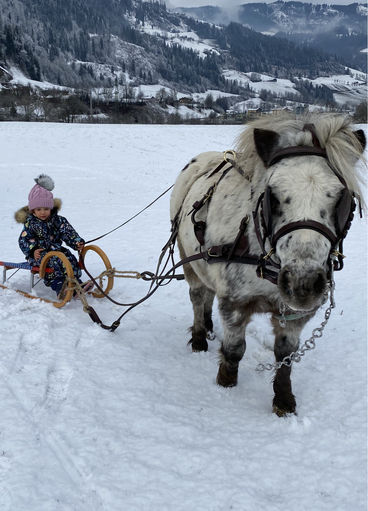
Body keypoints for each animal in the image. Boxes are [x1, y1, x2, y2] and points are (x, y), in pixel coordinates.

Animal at [170, 114, 366, 418]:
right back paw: (200, 337)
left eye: (342, 197)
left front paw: (283, 401)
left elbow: (286, 356)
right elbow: (235, 349)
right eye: (272, 195)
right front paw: (225, 385)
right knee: (198, 296)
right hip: (189, 261)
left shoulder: (295, 313)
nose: (302, 284)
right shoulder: (235, 302)